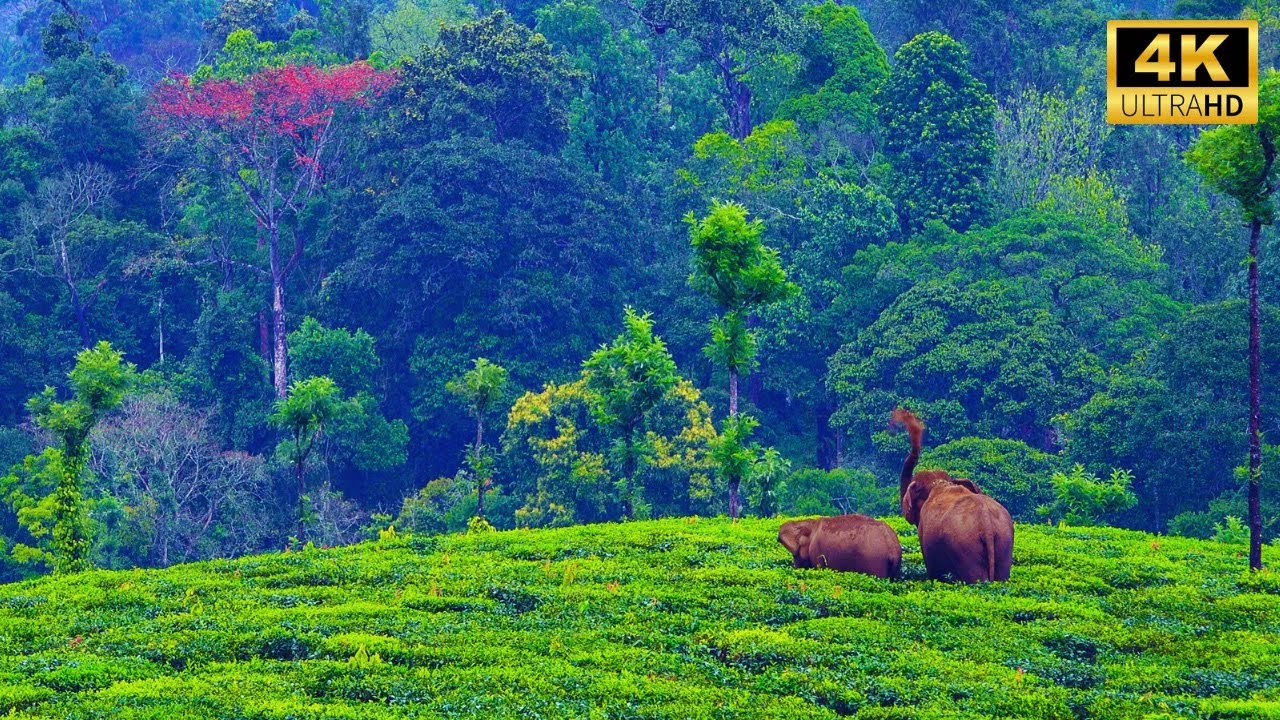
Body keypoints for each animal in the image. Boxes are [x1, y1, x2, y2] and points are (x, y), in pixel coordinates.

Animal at [773, 509, 906, 576]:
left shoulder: (817, 550)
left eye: (796, 554)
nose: (795, 568)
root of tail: (892, 546)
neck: (811, 523)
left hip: (875, 559)